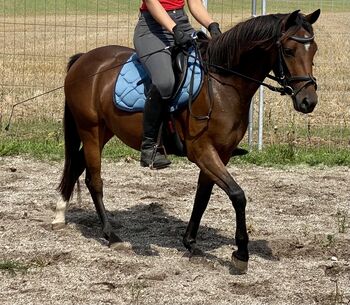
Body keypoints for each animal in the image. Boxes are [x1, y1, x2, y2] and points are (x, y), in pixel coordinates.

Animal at [51, 9, 320, 272]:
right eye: (289, 50)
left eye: (314, 49)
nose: (308, 101)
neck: (223, 85)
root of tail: (84, 59)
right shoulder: (202, 151)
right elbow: (237, 195)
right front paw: (241, 254)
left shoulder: (221, 154)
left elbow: (203, 196)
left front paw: (190, 243)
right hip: (90, 129)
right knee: (94, 180)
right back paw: (111, 235)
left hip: (105, 131)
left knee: (77, 164)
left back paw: (60, 214)